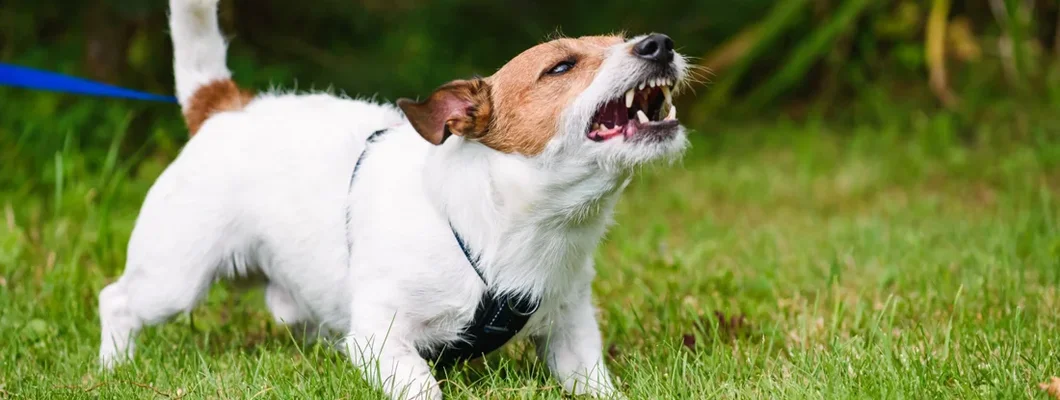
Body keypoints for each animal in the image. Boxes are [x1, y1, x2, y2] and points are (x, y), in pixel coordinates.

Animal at [99, 0, 691, 396]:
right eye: (562, 67)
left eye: (622, 38)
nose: (659, 43)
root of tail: (224, 107)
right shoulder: (380, 339)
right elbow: (422, 385)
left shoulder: (571, 331)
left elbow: (592, 379)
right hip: (174, 277)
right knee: (117, 300)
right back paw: (114, 368)